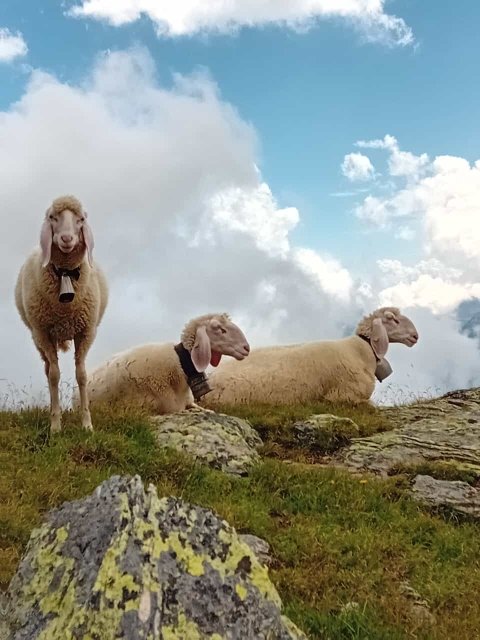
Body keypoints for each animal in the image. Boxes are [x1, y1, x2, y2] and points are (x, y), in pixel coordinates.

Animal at [15, 195, 109, 432]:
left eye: (81, 219)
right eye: (52, 217)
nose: (66, 238)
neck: (65, 272)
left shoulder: (85, 333)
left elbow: (82, 375)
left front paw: (87, 424)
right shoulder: (43, 332)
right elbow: (55, 376)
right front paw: (55, 426)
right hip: (38, 339)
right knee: (49, 370)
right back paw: (52, 409)